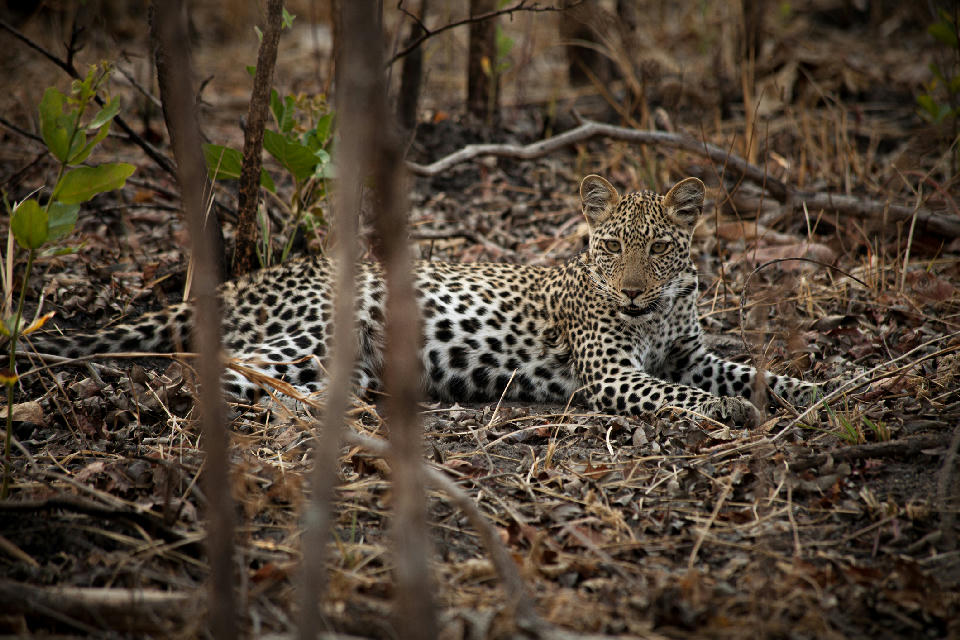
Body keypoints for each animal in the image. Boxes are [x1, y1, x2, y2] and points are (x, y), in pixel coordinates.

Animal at [29, 174, 823, 426]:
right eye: (609, 247)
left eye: (658, 247)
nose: (630, 290)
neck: (658, 312)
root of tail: (262, 275)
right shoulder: (612, 373)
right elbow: (678, 394)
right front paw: (723, 412)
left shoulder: (691, 354)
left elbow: (752, 373)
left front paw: (821, 389)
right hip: (319, 330)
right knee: (212, 370)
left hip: (334, 358)